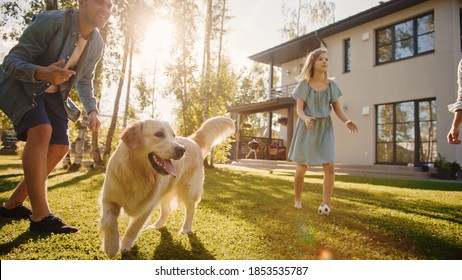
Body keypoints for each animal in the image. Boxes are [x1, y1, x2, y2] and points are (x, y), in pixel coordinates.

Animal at [99, 116, 233, 258]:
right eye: (159, 134)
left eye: (173, 136)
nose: (182, 150)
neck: (136, 173)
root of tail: (191, 140)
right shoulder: (108, 198)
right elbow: (110, 221)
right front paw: (111, 246)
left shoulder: (146, 206)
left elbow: (133, 228)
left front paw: (124, 245)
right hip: (165, 193)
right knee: (166, 210)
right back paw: (157, 225)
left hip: (188, 191)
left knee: (190, 210)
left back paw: (185, 228)